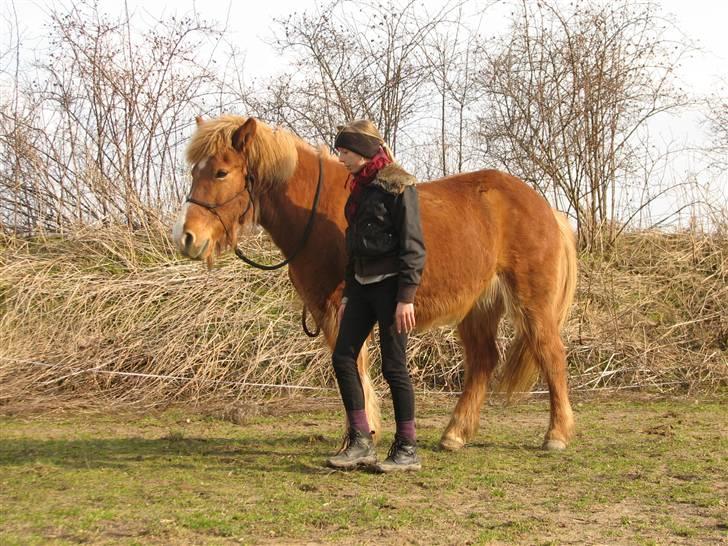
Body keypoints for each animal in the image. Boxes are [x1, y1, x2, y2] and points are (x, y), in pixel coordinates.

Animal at [173, 116, 576, 450]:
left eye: (221, 172)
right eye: (196, 171)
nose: (187, 237)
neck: (318, 212)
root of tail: (546, 208)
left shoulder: (340, 308)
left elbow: (354, 368)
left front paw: (359, 435)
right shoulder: (328, 310)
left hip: (531, 302)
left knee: (551, 353)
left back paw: (556, 434)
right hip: (479, 306)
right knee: (483, 361)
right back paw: (455, 434)